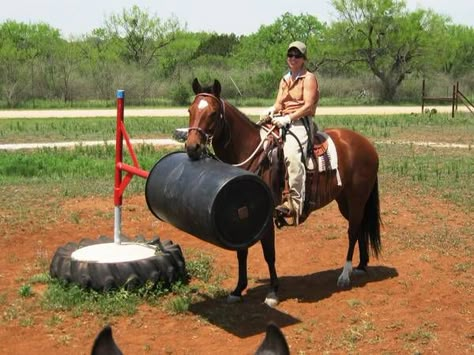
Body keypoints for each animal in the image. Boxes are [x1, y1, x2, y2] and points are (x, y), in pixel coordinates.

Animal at [185, 79, 382, 308]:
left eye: (213, 113)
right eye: (190, 110)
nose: (192, 147)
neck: (253, 153)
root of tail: (366, 144)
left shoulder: (265, 218)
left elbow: (269, 254)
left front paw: (272, 292)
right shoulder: (243, 219)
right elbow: (241, 253)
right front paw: (238, 290)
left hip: (357, 198)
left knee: (352, 231)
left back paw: (345, 274)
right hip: (344, 201)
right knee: (359, 228)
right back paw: (361, 265)